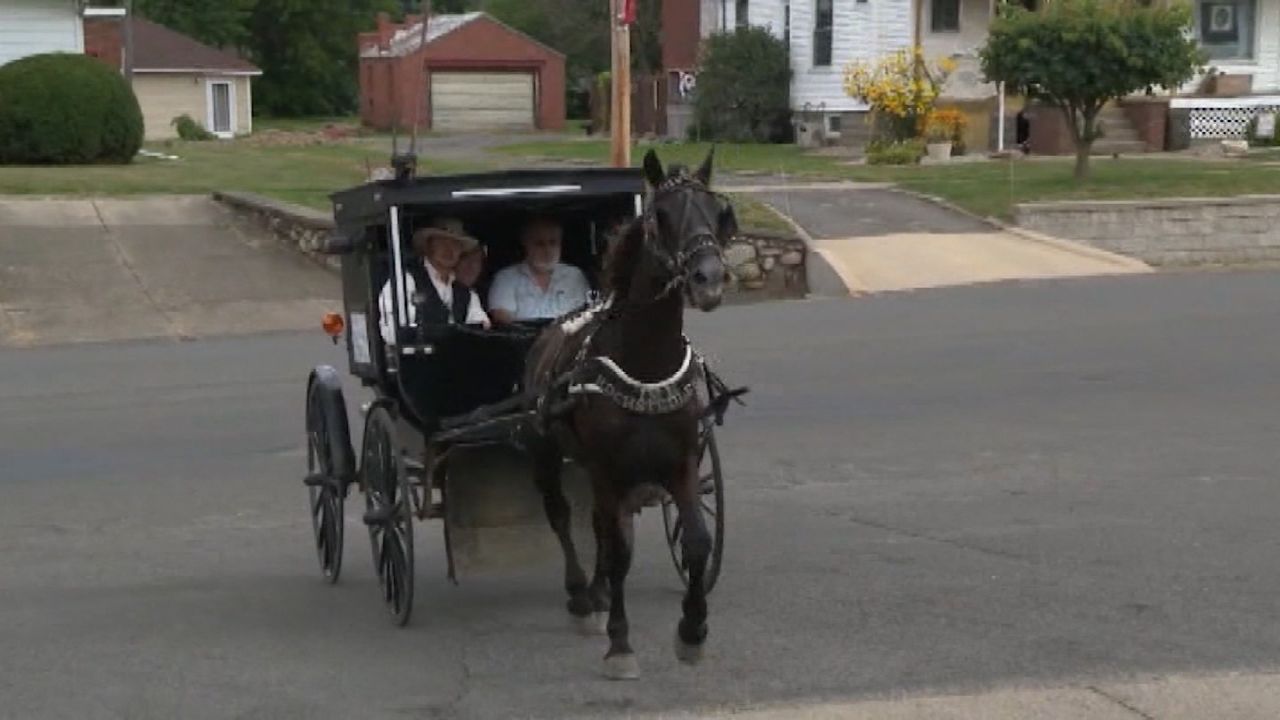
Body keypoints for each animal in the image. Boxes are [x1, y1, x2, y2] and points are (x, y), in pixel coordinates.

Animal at [524, 147, 737, 676]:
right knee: (563, 517)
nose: (709, 279)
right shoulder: (607, 468)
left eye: (718, 213)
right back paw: (583, 596)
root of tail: (550, 332)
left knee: (602, 525)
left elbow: (696, 540)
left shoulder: (682, 463)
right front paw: (620, 644)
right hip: (547, 452)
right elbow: (618, 548)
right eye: (661, 216)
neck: (645, 362)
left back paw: (599, 593)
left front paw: (693, 630)